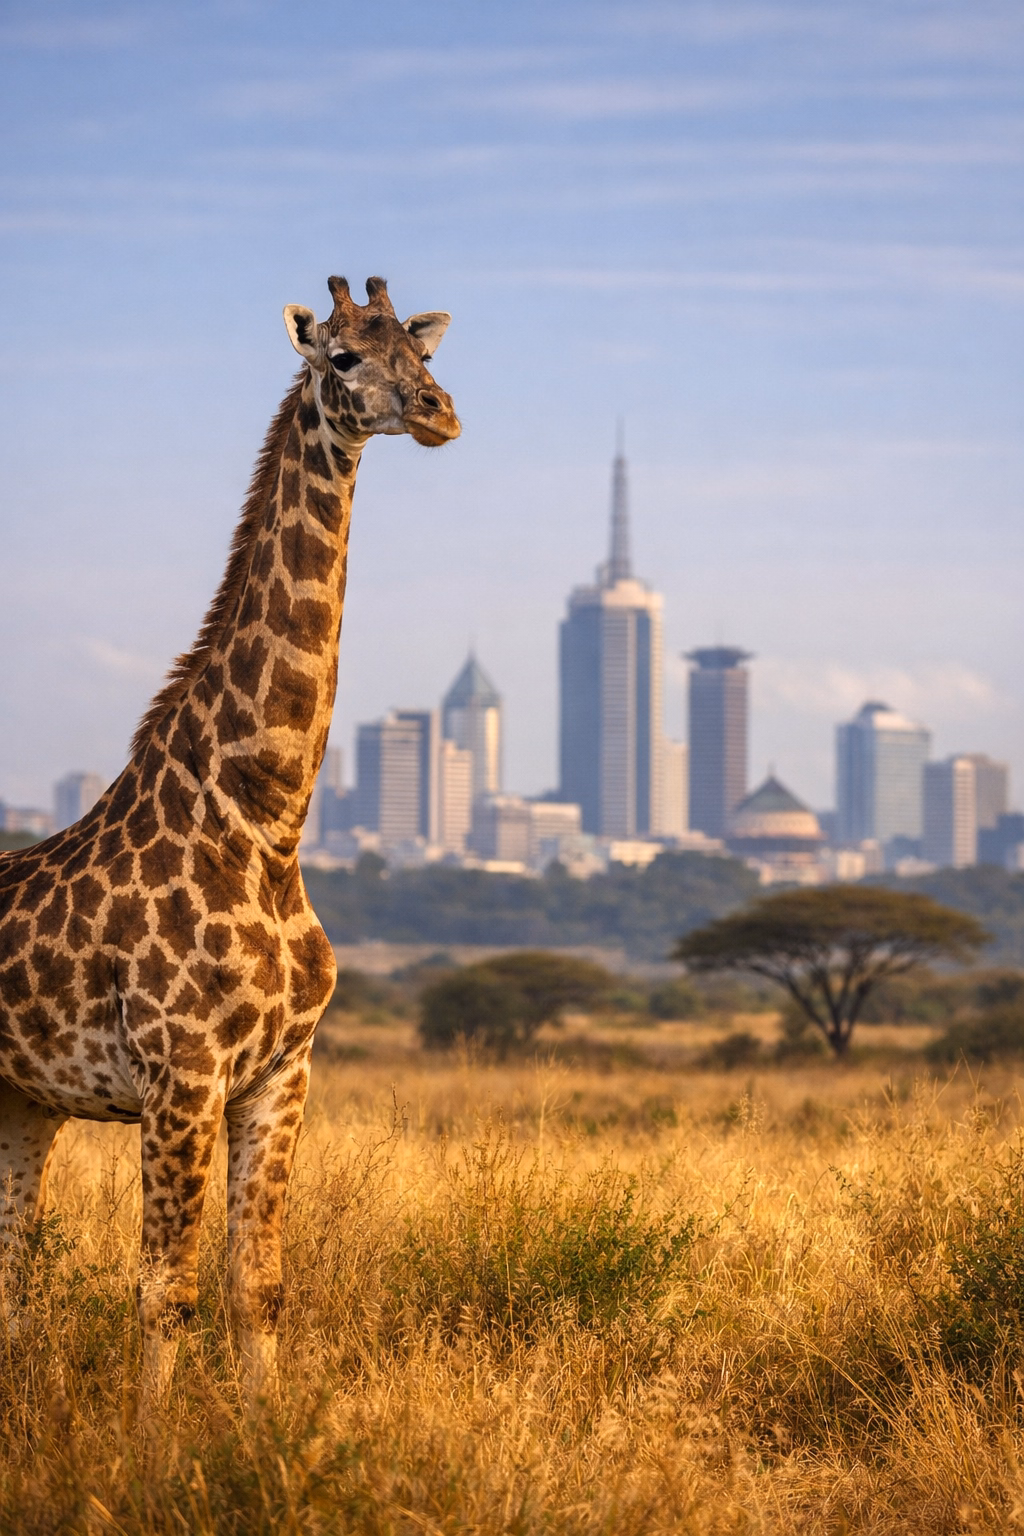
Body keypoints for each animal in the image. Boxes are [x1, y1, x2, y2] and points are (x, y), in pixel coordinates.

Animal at [0, 275, 459, 1411]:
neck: (264, 823)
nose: (439, 411)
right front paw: (152, 1442)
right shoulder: (182, 1075)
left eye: (417, 348)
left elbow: (258, 1285)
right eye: (342, 356)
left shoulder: (281, 1074)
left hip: (23, 1102)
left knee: (11, 1270)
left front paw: (265, 1430)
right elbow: (166, 1291)